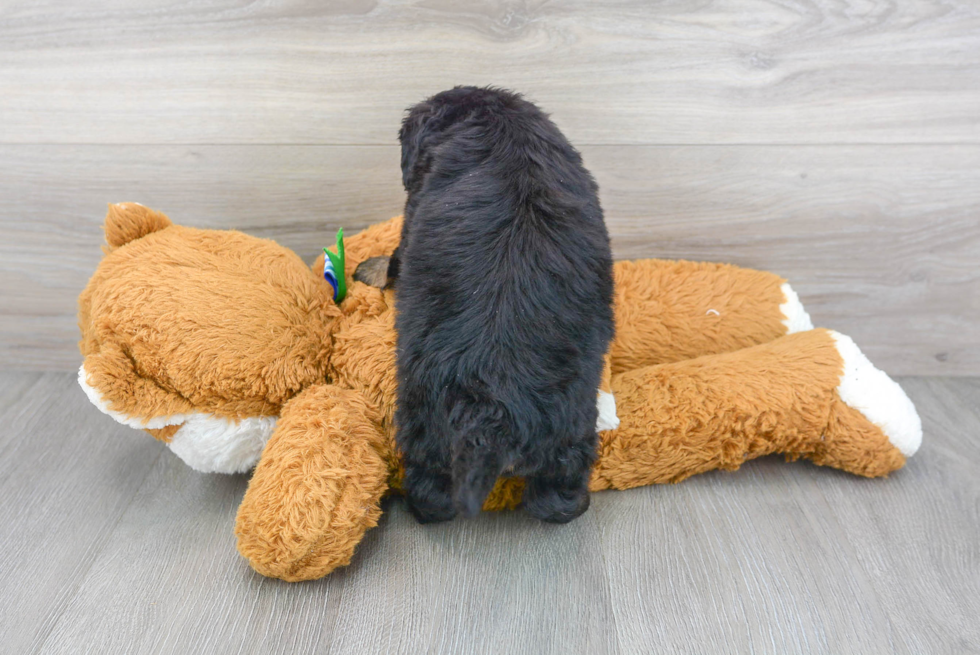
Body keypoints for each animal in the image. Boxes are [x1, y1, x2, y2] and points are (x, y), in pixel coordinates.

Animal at [390, 88, 612, 528]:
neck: (498, 120)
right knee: (557, 494)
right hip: (571, 426)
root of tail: (494, 418)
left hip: (422, 418)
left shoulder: (414, 206)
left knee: (430, 486)